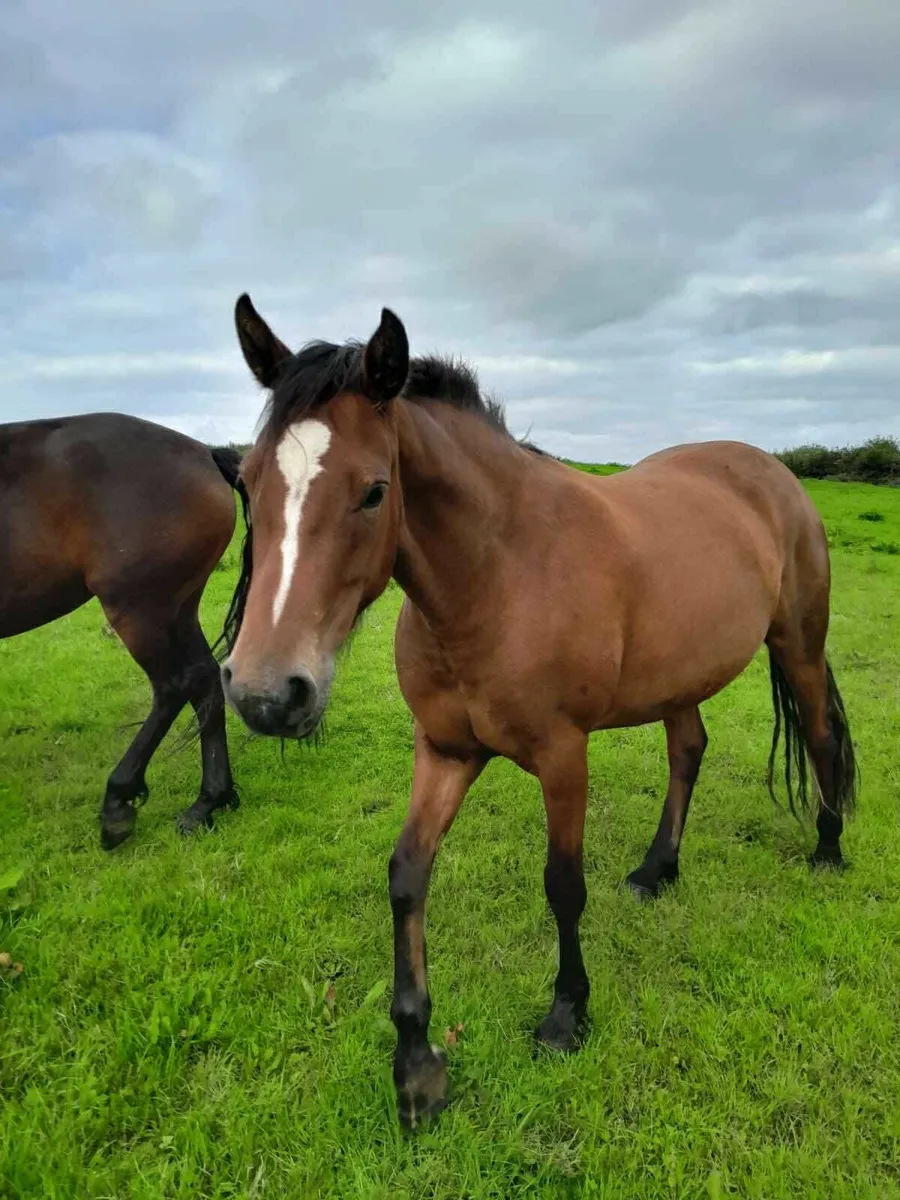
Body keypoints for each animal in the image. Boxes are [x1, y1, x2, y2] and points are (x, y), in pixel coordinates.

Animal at [0, 412, 248, 850]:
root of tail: (202, 452)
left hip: (138, 608)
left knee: (173, 685)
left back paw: (119, 801)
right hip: (178, 607)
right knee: (204, 678)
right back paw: (208, 802)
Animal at [220, 295, 858, 1128]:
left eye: (374, 490)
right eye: (248, 482)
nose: (266, 692)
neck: (498, 574)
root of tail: (772, 473)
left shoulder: (563, 754)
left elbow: (563, 883)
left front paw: (565, 1015)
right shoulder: (444, 751)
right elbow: (407, 874)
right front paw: (418, 1066)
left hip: (799, 644)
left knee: (818, 735)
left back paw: (827, 849)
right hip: (682, 677)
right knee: (688, 749)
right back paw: (658, 869)